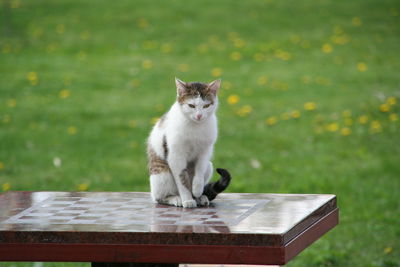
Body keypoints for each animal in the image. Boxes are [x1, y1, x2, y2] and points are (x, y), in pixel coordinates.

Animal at [147, 78, 231, 209]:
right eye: (191, 105)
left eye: (206, 105)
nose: (199, 115)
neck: (195, 127)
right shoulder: (176, 155)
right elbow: (182, 180)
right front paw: (187, 199)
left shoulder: (205, 150)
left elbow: (200, 169)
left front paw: (197, 189)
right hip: (161, 175)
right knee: (158, 198)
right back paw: (175, 198)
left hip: (209, 166)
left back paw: (199, 197)